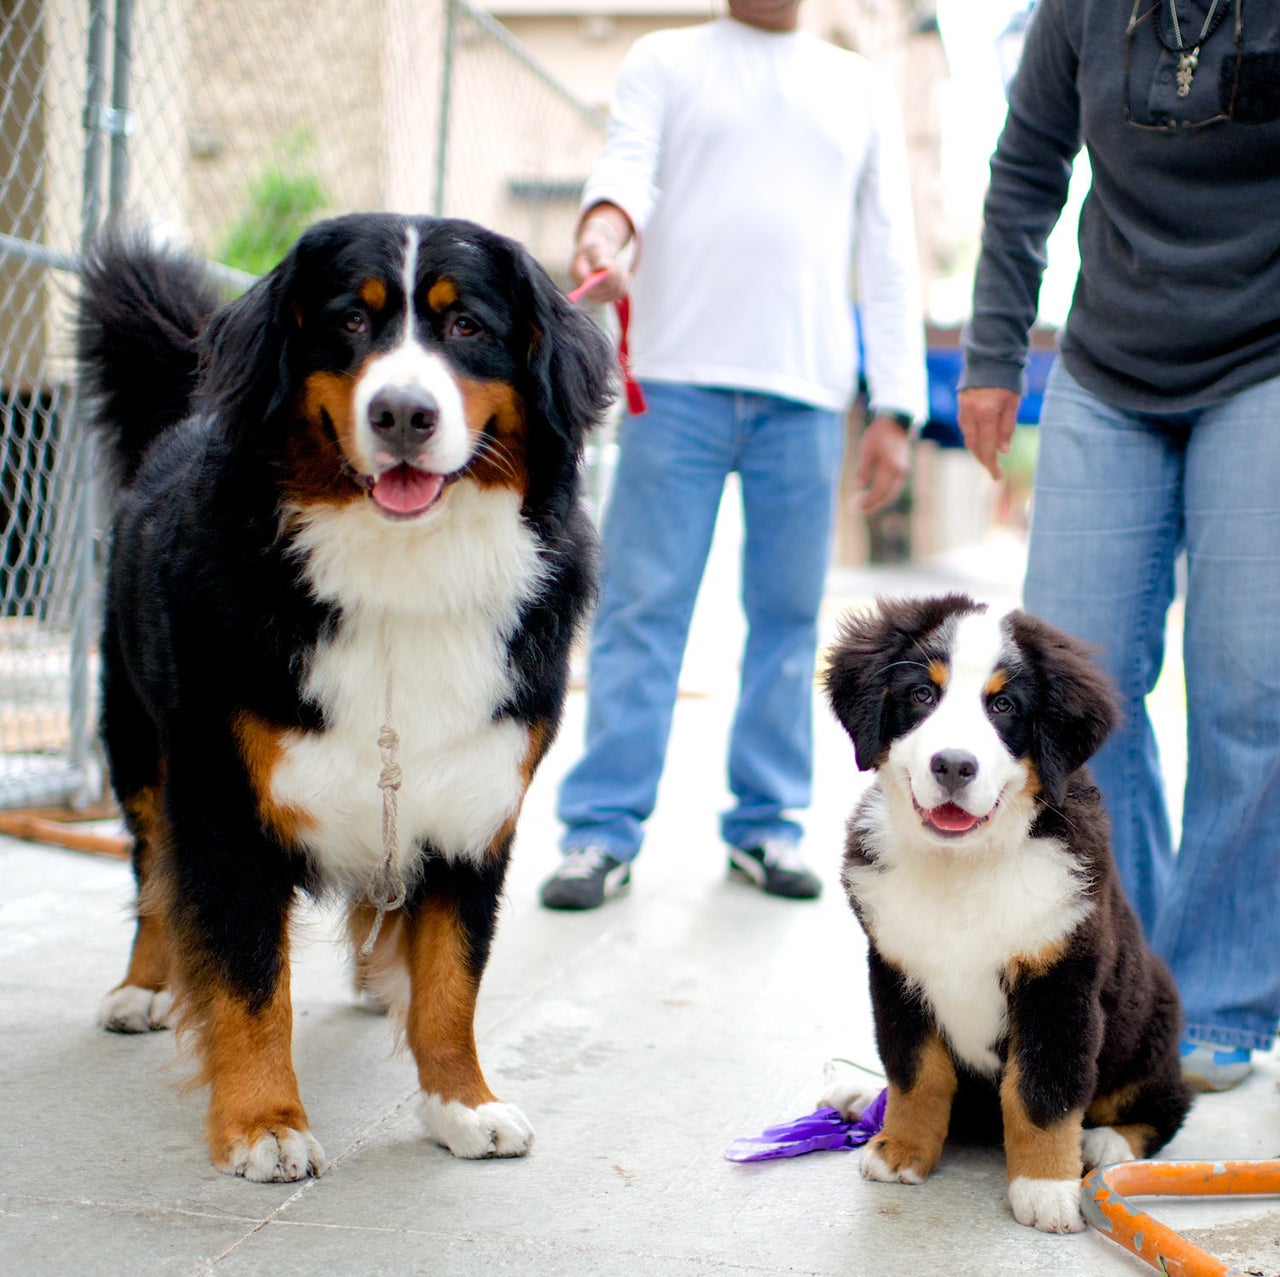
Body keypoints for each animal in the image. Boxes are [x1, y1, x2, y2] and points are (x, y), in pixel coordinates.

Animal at [77, 214, 616, 1182]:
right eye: (350, 322)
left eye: (467, 325)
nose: (404, 413)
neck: (401, 570)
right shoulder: (225, 802)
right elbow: (251, 980)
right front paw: (264, 1122)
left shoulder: (478, 799)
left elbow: (452, 979)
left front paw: (462, 1103)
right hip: (138, 747)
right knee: (152, 877)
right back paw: (142, 987)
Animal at [819, 598, 1187, 1238]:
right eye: (922, 695)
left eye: (1005, 706)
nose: (953, 765)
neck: (962, 866)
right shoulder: (895, 972)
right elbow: (916, 1073)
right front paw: (902, 1149)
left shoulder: (1058, 984)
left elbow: (1041, 1091)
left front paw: (1045, 1189)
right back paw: (862, 1095)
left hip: (1152, 1023)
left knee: (1167, 1104)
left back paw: (1107, 1144)